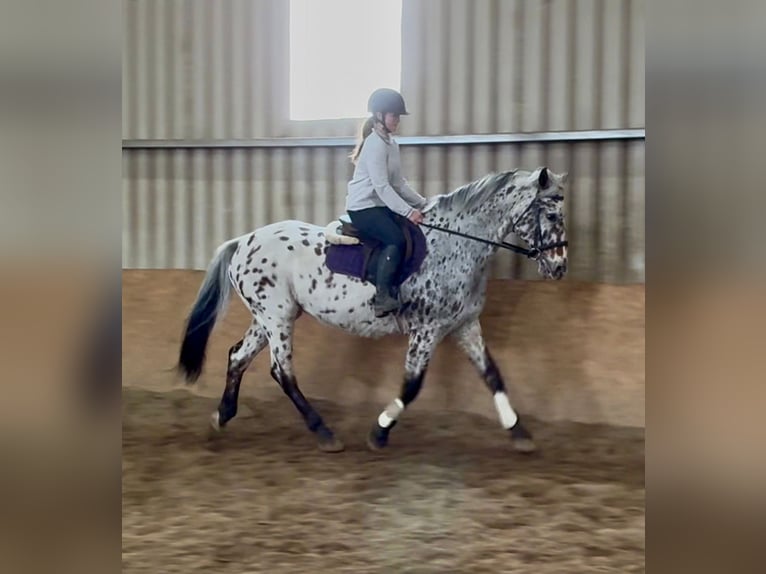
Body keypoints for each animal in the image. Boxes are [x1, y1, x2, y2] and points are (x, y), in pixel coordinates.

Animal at [176, 166, 569, 453]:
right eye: (551, 214)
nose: (559, 267)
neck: (456, 245)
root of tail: (242, 241)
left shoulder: (465, 324)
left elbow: (493, 376)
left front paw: (520, 433)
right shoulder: (427, 329)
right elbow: (411, 385)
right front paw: (379, 432)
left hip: (268, 318)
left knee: (237, 357)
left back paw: (221, 419)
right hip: (277, 317)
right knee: (282, 372)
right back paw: (324, 433)